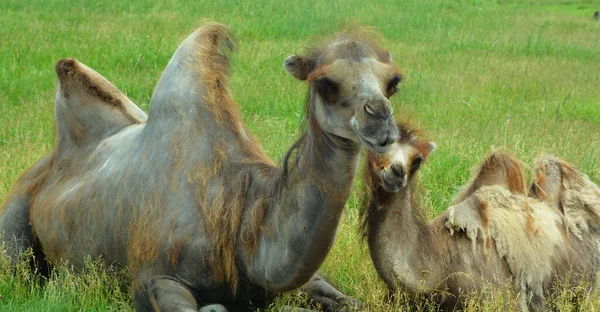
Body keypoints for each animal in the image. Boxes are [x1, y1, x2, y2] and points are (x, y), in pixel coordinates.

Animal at [0, 23, 406, 310]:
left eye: (393, 83)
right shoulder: (153, 278)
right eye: (325, 83)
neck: (239, 211)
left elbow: (352, 302)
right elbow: (207, 306)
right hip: (15, 235)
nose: (381, 118)